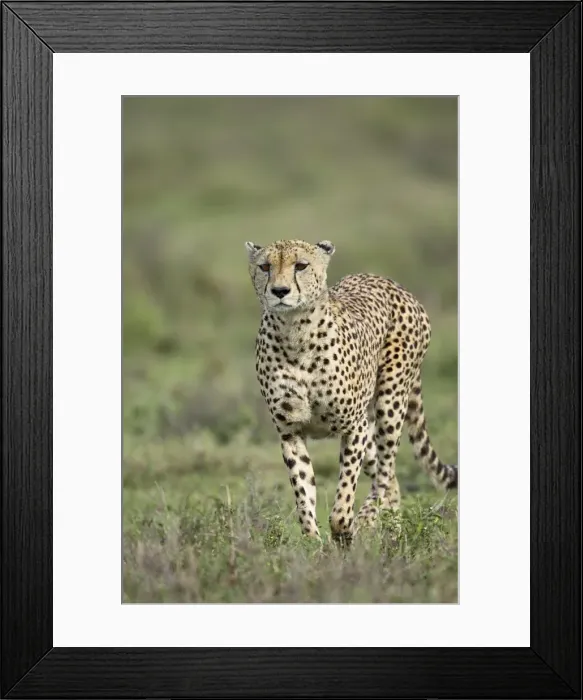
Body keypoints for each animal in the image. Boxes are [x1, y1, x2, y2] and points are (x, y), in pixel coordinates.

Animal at [245, 238, 457, 544]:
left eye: (301, 265)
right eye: (265, 267)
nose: (280, 291)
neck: (294, 330)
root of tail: (387, 281)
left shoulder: (352, 427)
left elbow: (344, 493)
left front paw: (344, 529)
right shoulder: (290, 432)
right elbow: (303, 491)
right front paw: (314, 542)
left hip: (389, 402)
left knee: (386, 471)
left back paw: (370, 518)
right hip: (370, 427)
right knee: (390, 480)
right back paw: (390, 528)